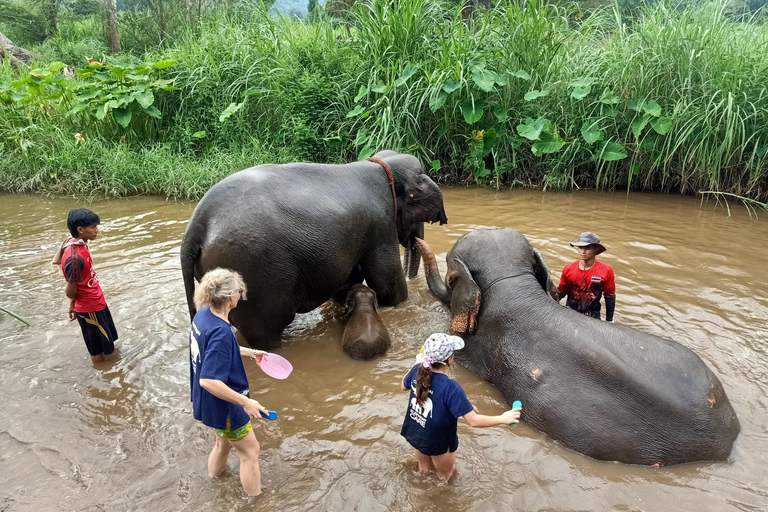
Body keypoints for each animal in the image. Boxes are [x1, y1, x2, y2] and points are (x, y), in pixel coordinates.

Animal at [180, 150, 447, 350]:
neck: (380, 166)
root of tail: (196, 224)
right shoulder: (379, 224)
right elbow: (387, 286)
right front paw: (398, 301)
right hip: (253, 271)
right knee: (266, 331)